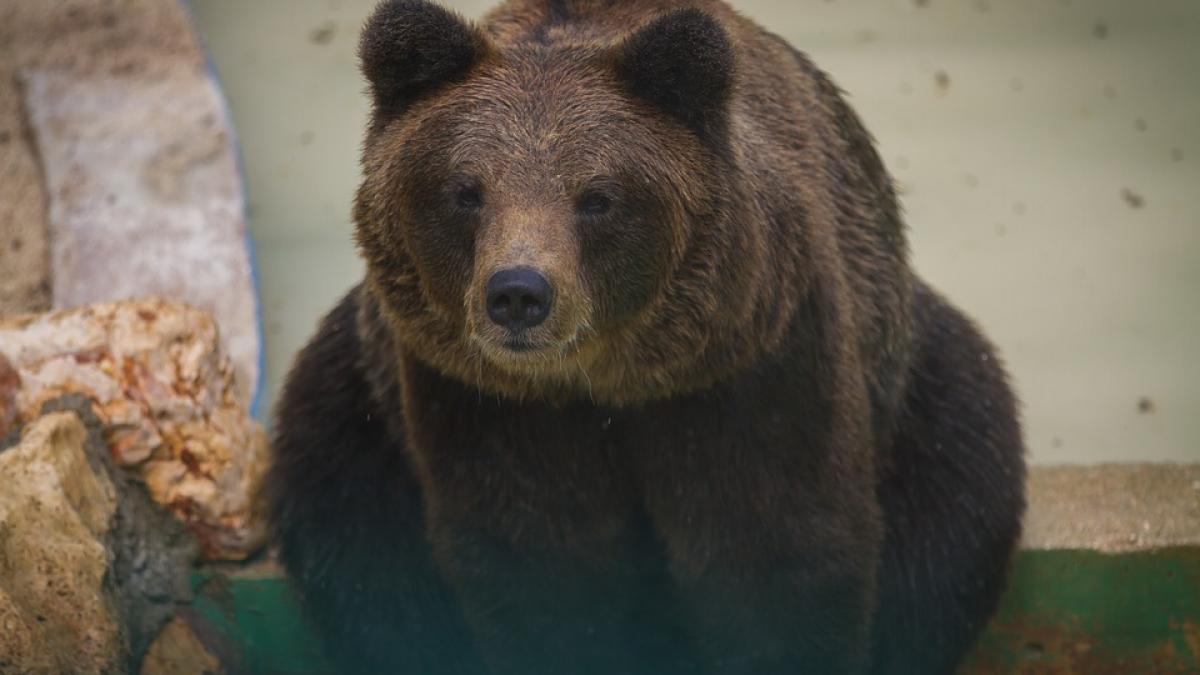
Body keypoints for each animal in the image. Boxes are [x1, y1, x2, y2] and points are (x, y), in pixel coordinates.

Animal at [263, 1, 1027, 673]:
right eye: (466, 190)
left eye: (597, 196)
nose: (519, 294)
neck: (609, 383)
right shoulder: (485, 400)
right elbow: (541, 565)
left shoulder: (752, 370)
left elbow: (777, 555)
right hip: (360, 399)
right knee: (356, 541)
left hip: (913, 373)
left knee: (957, 497)